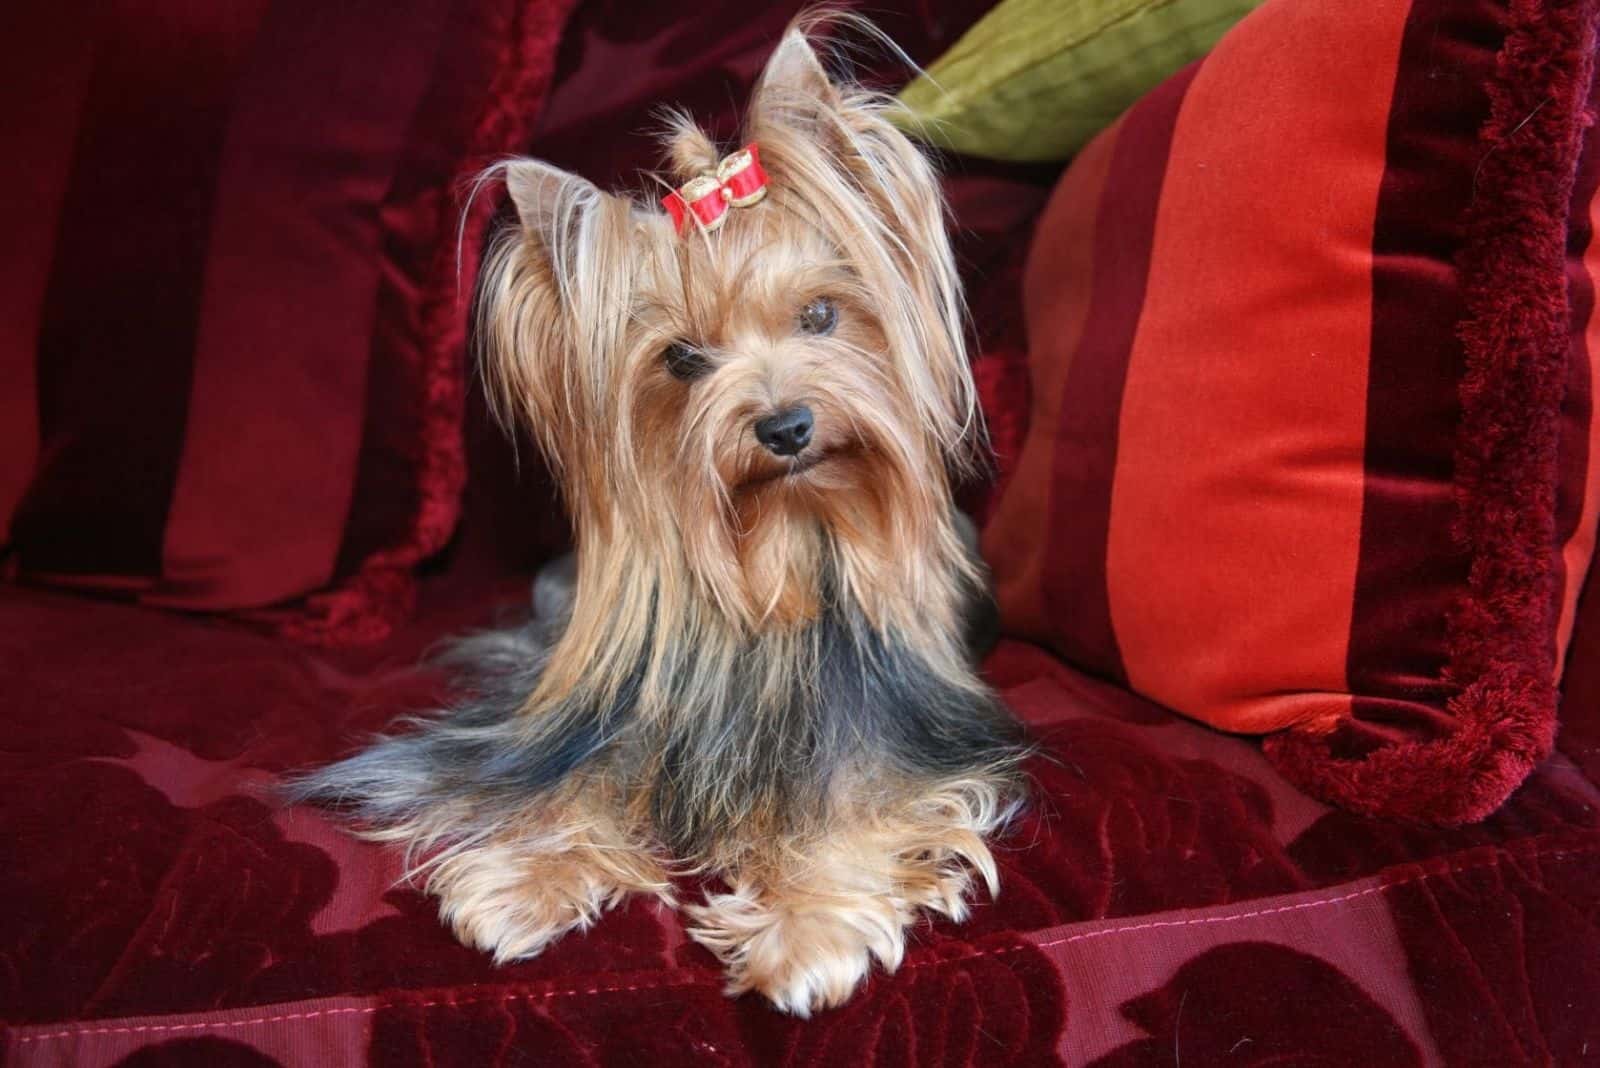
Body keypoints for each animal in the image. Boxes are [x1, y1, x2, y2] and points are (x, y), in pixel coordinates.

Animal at [291, 20, 1024, 1016]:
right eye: (681, 360)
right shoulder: (597, 720)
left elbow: (858, 806)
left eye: (820, 314)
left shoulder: (892, 740)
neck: (778, 546)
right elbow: (576, 784)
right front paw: (528, 880)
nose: (785, 426)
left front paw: (806, 929)